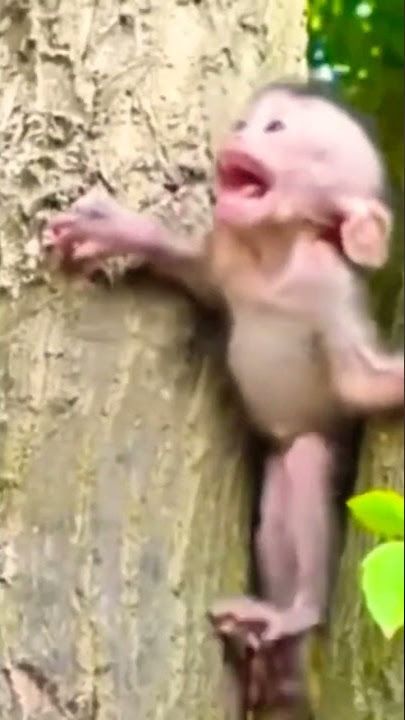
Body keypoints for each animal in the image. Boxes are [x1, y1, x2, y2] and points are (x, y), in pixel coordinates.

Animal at [43, 80, 404, 718]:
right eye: (247, 122)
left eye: (275, 128)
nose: (237, 134)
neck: (272, 257)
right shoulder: (232, 256)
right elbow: (202, 276)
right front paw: (118, 231)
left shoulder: (329, 287)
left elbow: (361, 383)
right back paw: (272, 657)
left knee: (307, 460)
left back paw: (298, 615)